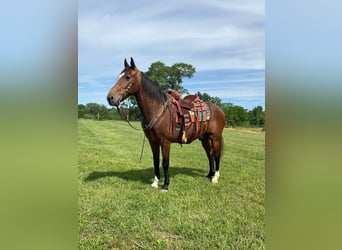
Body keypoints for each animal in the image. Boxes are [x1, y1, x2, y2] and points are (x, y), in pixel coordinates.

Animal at [105, 58, 226, 191]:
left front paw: (165, 185)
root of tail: (219, 109)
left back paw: (215, 178)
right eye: (119, 76)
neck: (157, 110)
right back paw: (209, 174)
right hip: (204, 138)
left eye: (127, 77)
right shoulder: (153, 141)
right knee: (210, 155)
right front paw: (155, 182)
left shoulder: (165, 142)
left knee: (216, 155)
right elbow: (156, 161)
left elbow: (165, 162)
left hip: (215, 137)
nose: (110, 98)